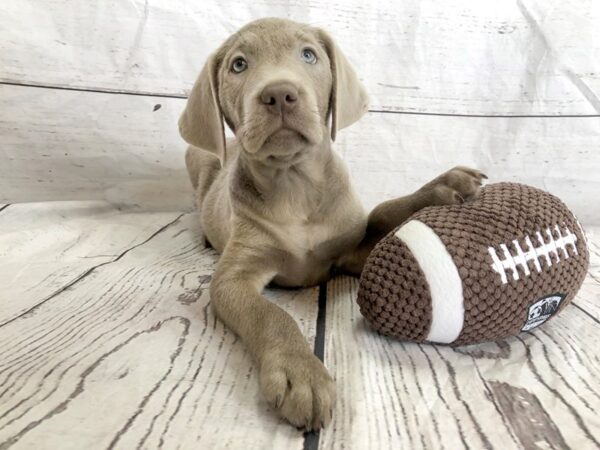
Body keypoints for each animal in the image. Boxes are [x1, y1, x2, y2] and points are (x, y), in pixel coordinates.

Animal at [180, 17, 486, 430]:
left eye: (309, 55)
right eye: (238, 65)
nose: (279, 94)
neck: (292, 185)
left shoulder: (350, 250)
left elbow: (383, 212)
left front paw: (443, 187)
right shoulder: (233, 279)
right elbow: (271, 314)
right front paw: (301, 374)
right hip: (199, 155)